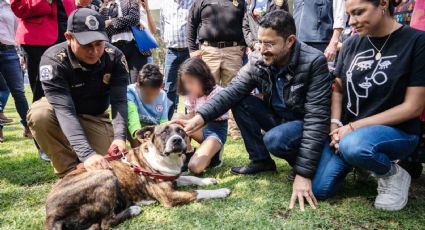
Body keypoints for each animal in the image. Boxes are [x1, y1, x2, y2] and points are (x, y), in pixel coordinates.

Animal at [44, 125, 230, 229]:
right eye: (163, 133)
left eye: (181, 131)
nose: (177, 140)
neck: (166, 159)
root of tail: (50, 214)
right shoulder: (169, 196)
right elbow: (197, 192)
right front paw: (221, 191)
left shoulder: (172, 178)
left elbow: (191, 178)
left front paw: (207, 180)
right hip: (106, 175)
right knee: (106, 222)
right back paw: (134, 209)